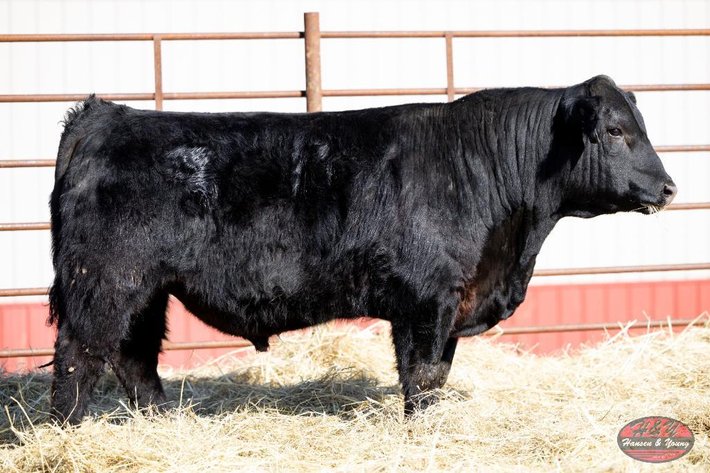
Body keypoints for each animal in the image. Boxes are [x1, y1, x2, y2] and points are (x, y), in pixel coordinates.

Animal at [48, 75, 676, 424]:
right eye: (615, 130)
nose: (669, 187)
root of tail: (106, 114)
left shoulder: (450, 303)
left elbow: (436, 376)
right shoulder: (426, 301)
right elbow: (421, 377)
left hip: (146, 290)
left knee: (134, 359)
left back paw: (163, 424)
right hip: (103, 282)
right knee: (79, 361)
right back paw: (64, 434)